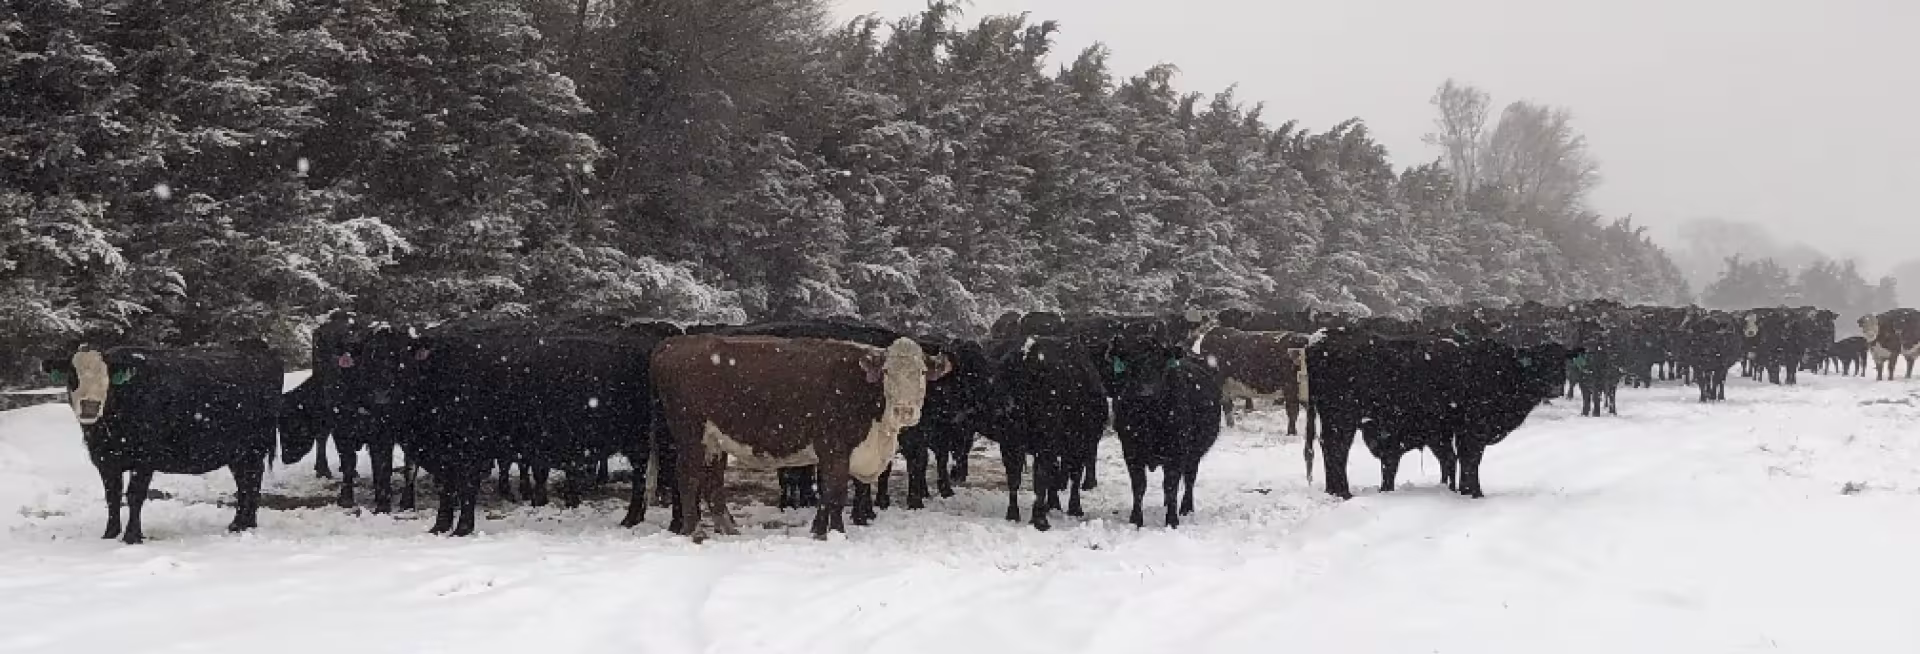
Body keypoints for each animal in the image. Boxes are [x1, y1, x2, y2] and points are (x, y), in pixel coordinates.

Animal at [41, 340, 286, 544]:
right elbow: (112, 496)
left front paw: (131, 537)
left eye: (107, 377)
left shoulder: (144, 459)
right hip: (237, 452)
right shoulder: (106, 460)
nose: (90, 405)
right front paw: (109, 534)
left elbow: (135, 495)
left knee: (252, 481)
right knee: (244, 483)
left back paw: (244, 524)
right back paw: (241, 524)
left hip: (253, 448)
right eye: (72, 375)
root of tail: (259, 348)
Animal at [650, 335, 950, 540]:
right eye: (887, 371)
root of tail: (673, 344)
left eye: (922, 372)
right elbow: (834, 492)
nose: (905, 410)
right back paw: (695, 532)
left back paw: (728, 529)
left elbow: (830, 494)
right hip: (690, 435)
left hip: (714, 440)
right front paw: (831, 533)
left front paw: (824, 530)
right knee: (687, 478)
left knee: (713, 481)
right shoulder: (834, 448)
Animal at [1106, 326, 1222, 528]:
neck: (1150, 418)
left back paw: (1185, 508)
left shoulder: (1176, 451)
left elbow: (1171, 484)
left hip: (1195, 453)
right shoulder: (1130, 450)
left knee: (1189, 478)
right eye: (1131, 365)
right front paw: (1135, 520)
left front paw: (1172, 521)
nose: (1146, 393)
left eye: (1160, 365)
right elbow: (1139, 485)